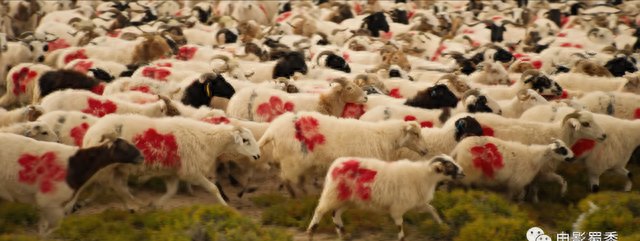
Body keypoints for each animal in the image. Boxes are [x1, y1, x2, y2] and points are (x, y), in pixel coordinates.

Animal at [256, 111, 430, 198]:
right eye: (416, 133)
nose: (426, 151)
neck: (381, 137)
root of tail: (273, 129)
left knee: (291, 179)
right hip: (293, 161)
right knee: (287, 179)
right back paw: (298, 195)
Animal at [306, 154, 464, 241]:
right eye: (450, 166)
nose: (463, 173)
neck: (425, 176)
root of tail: (336, 163)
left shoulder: (417, 203)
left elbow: (432, 209)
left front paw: (442, 225)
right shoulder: (398, 207)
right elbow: (400, 224)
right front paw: (402, 239)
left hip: (347, 199)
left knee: (335, 213)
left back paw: (344, 235)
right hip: (332, 194)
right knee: (320, 211)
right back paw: (310, 233)